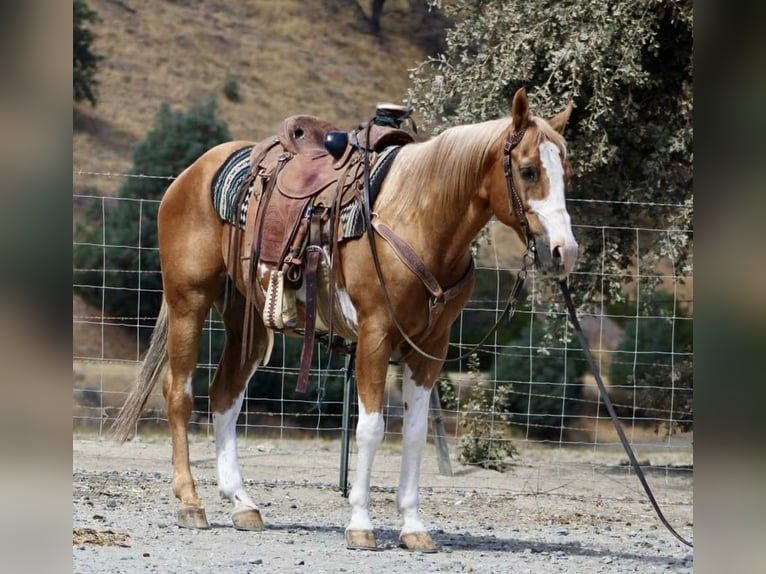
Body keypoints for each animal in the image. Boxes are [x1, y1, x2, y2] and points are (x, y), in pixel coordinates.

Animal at [112, 88, 578, 552]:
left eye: (567, 171)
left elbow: (414, 434)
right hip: (188, 301)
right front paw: (360, 524)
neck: (418, 218)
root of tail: (190, 174)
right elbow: (370, 429)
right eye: (528, 170)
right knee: (179, 393)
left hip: (247, 317)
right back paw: (191, 503)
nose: (563, 251)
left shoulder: (431, 347)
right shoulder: (375, 334)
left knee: (225, 395)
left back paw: (243, 504)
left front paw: (414, 527)